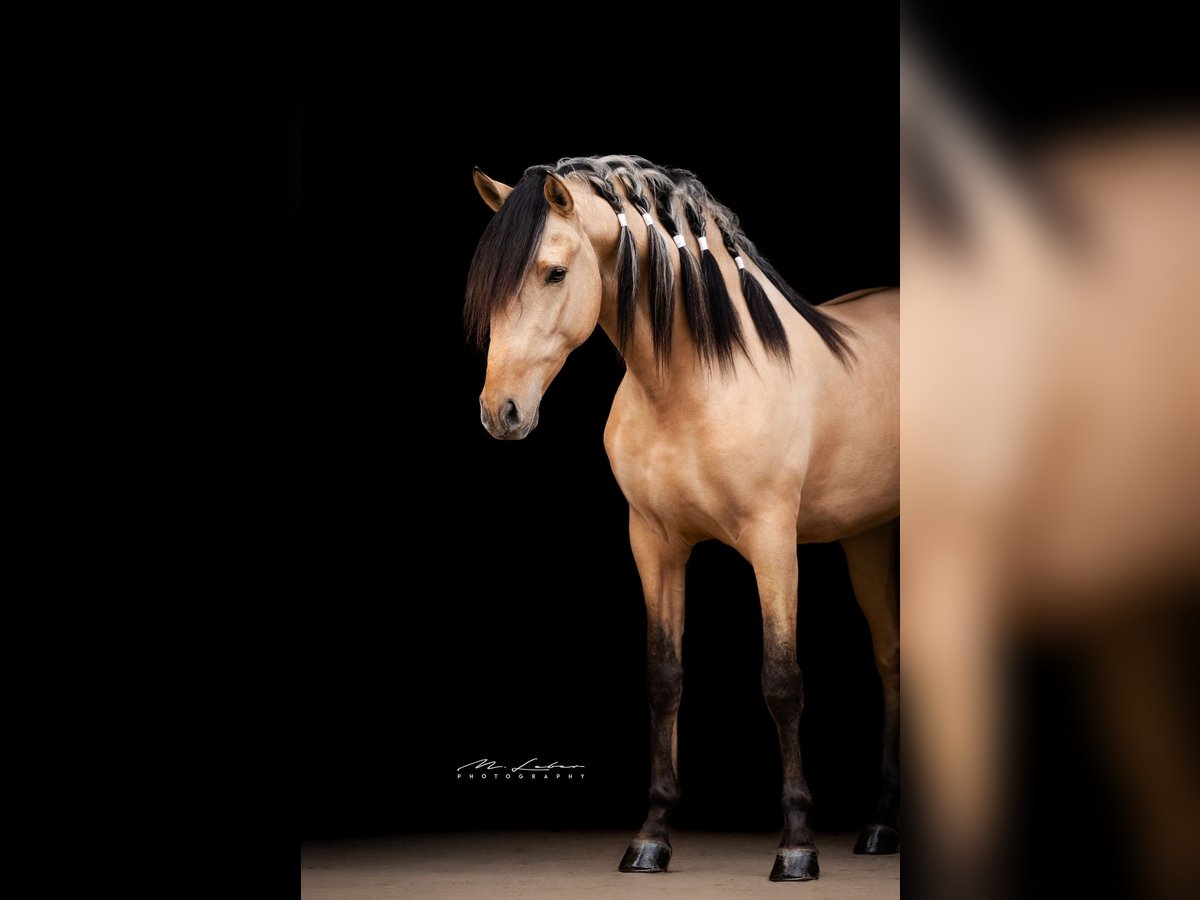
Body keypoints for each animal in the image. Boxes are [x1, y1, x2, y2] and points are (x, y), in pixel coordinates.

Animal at [463, 153, 897, 883]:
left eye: (554, 272)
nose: (503, 412)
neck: (699, 383)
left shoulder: (774, 544)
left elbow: (782, 682)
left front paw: (796, 846)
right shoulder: (653, 542)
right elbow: (664, 677)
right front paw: (652, 836)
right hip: (866, 539)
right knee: (890, 658)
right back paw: (879, 826)